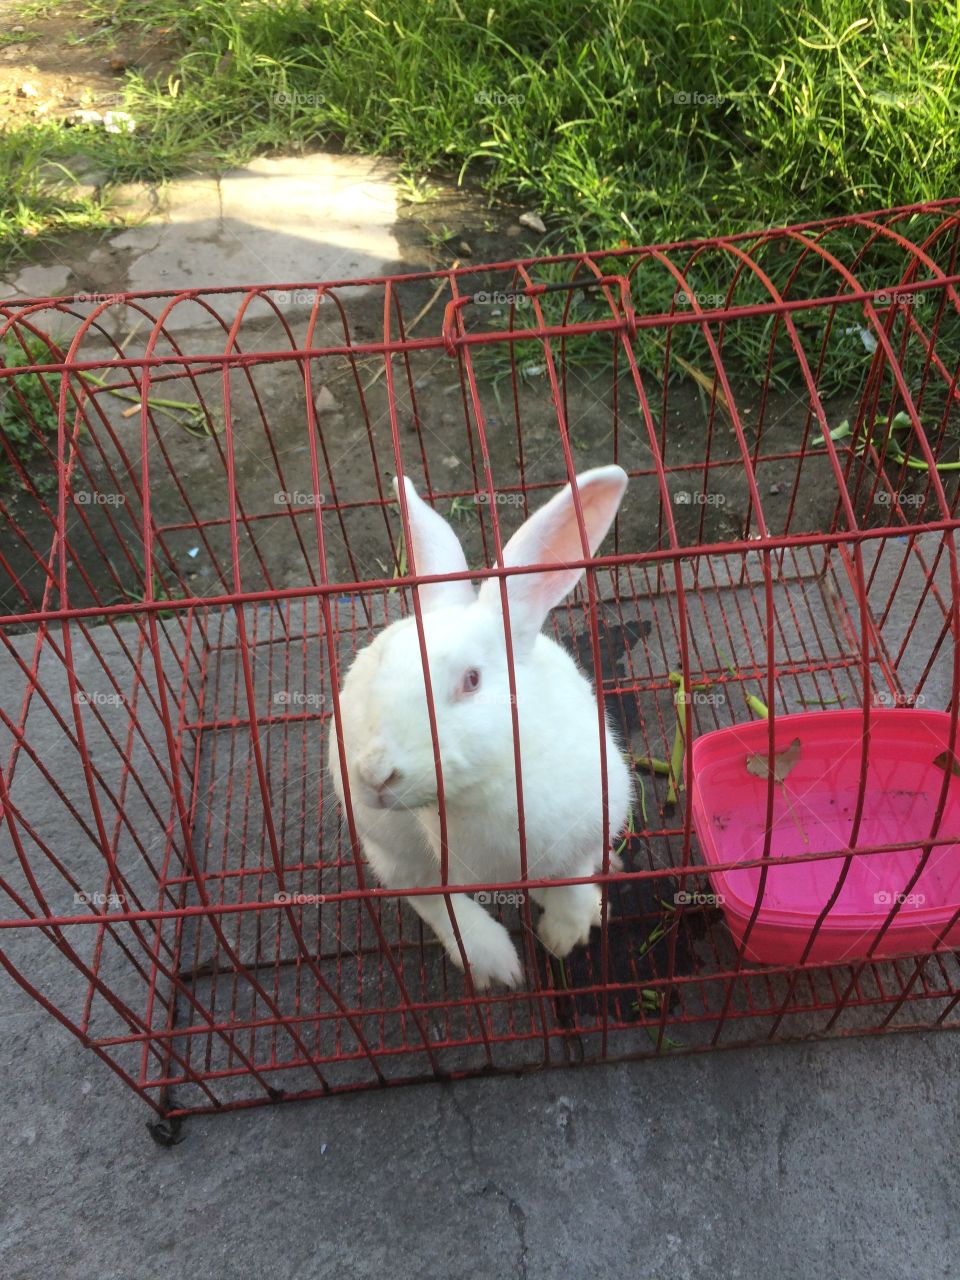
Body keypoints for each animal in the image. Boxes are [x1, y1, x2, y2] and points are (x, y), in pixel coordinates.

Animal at [327, 465, 632, 989]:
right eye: (383, 663)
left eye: (471, 680)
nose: (374, 776)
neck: (482, 787)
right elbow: (442, 903)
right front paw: (514, 962)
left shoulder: (589, 821)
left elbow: (571, 879)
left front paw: (566, 935)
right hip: (389, 850)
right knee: (432, 900)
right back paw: (492, 961)